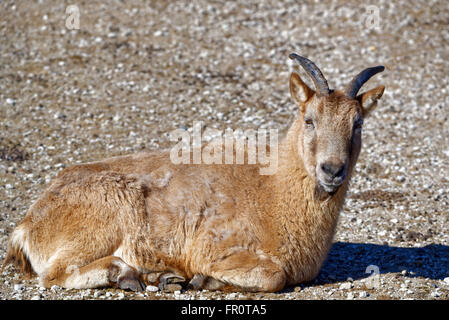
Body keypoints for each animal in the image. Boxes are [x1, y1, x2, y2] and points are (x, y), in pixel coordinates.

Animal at [2, 53, 384, 292]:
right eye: (309, 119)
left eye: (358, 123)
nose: (332, 170)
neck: (274, 192)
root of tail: (28, 224)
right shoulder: (214, 246)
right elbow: (273, 276)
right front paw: (203, 280)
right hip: (104, 217)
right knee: (54, 275)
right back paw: (129, 273)